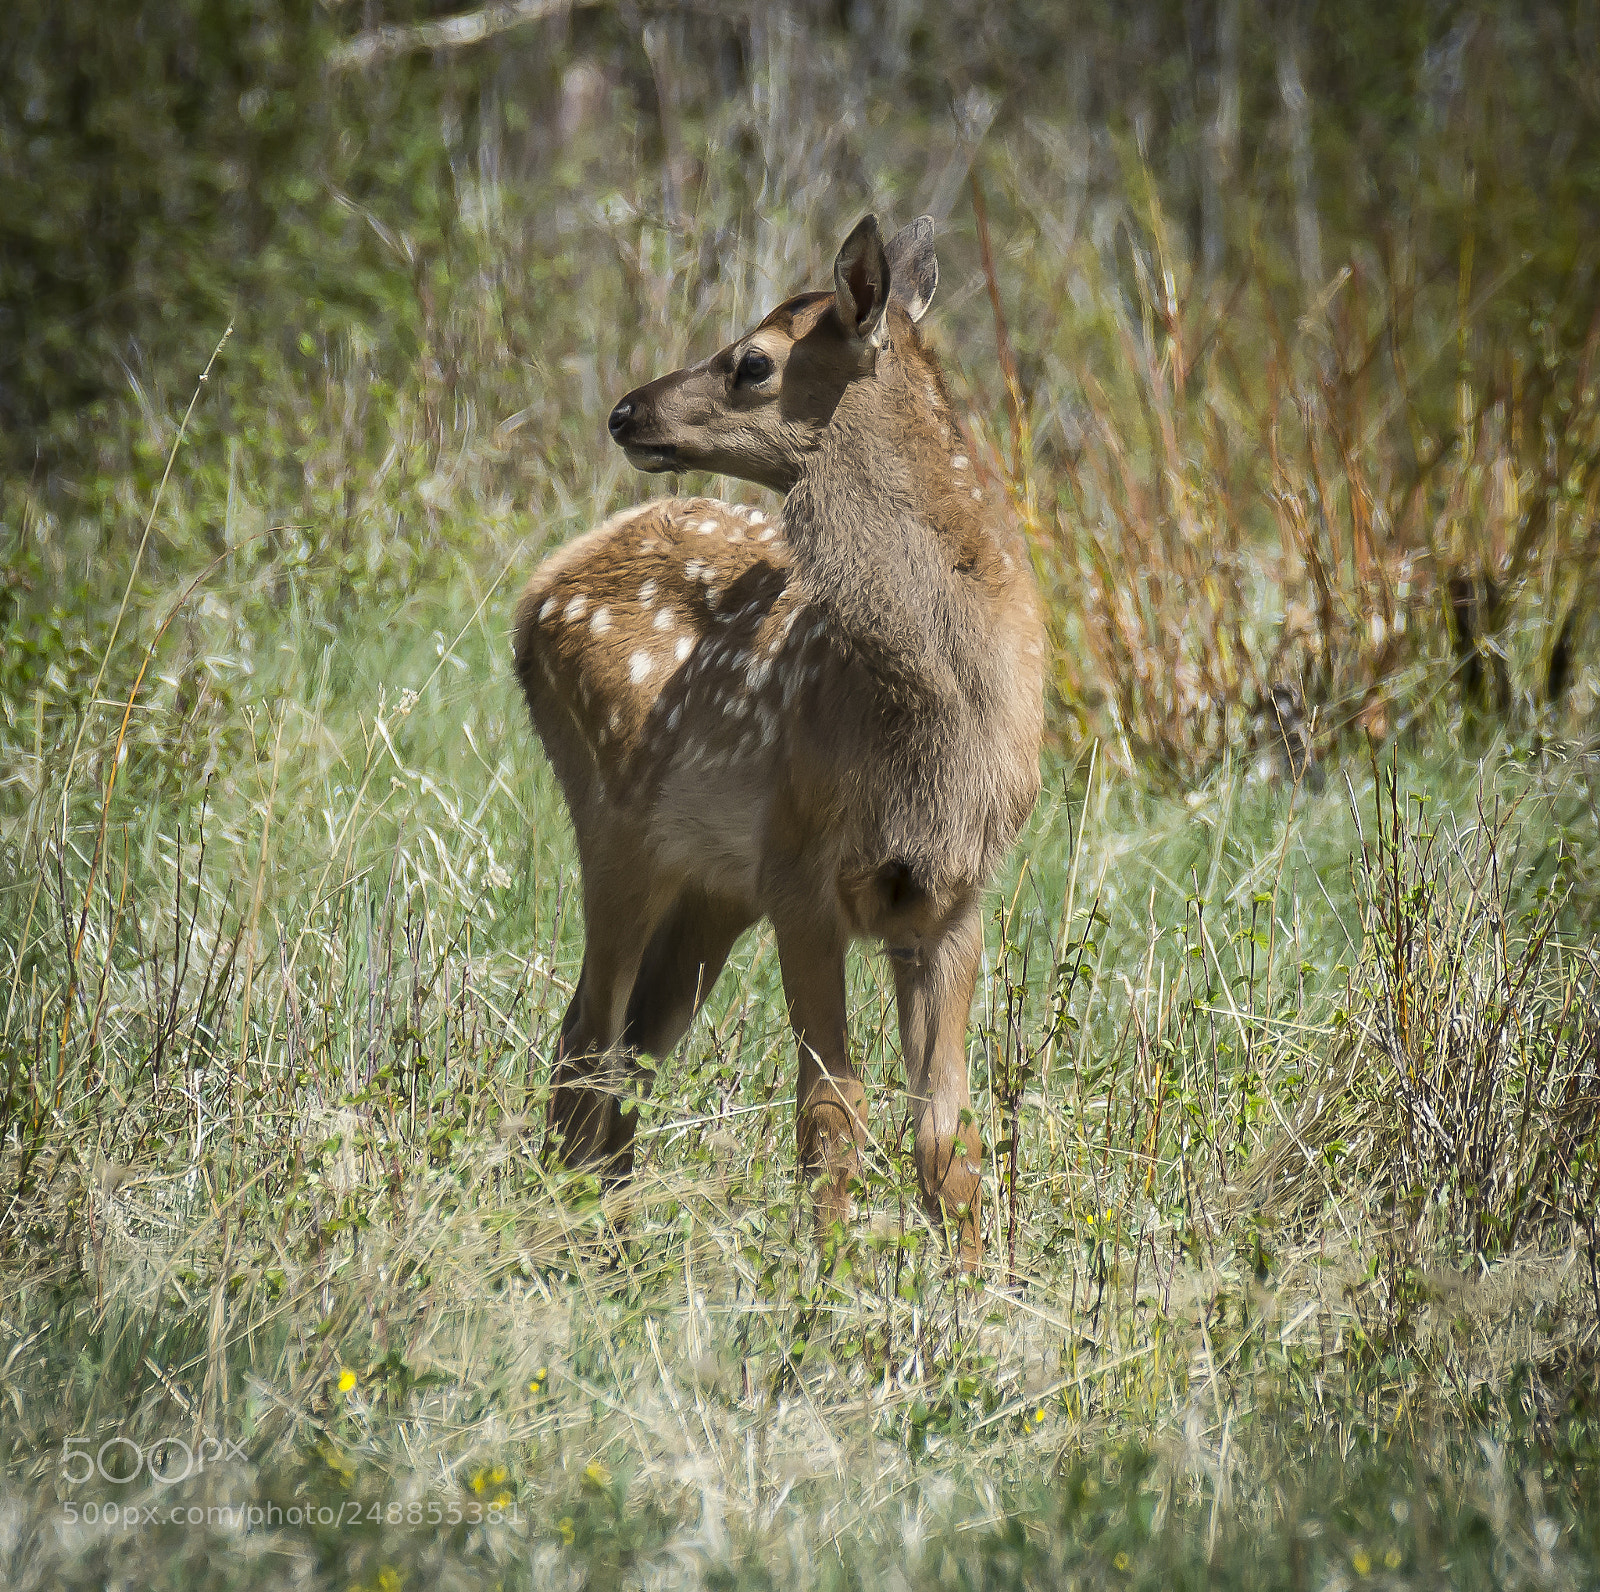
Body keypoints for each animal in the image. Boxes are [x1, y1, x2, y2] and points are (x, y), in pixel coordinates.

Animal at [513, 215, 1044, 1264]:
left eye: (753, 361)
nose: (626, 412)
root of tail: (538, 588)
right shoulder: (804, 870)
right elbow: (832, 1111)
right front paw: (819, 1279)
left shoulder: (954, 896)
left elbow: (946, 1135)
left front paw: (979, 1284)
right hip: (615, 828)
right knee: (587, 1037)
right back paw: (571, 1234)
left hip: (712, 888)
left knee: (627, 1044)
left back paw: (612, 1240)